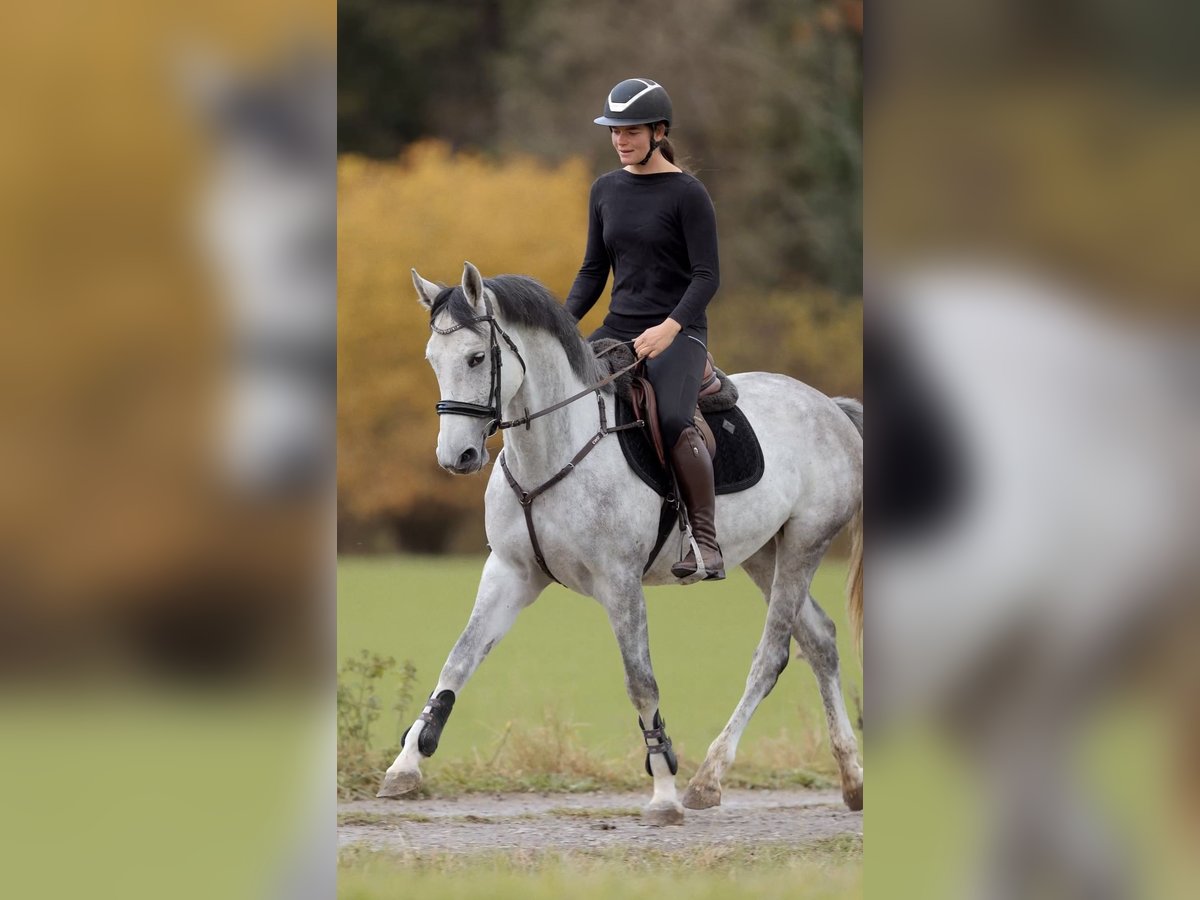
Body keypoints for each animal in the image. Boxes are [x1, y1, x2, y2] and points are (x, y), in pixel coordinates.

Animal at [378, 261, 864, 825]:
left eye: (477, 358)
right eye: (433, 360)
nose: (456, 456)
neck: (555, 449)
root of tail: (830, 406)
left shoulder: (620, 583)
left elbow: (640, 682)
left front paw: (664, 793)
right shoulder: (510, 573)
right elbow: (459, 659)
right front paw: (405, 765)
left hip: (805, 544)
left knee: (773, 655)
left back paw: (707, 779)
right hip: (765, 555)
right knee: (821, 640)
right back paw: (851, 780)